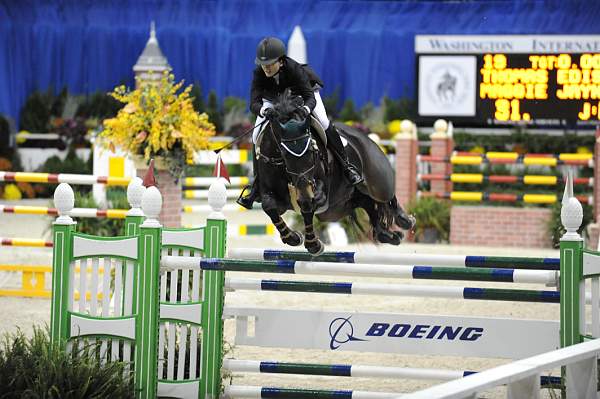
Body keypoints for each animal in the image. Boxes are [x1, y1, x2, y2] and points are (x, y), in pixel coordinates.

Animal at [255, 89, 414, 255]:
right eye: (284, 153)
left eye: (311, 150)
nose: (303, 186)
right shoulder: (273, 194)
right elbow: (269, 206)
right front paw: (293, 238)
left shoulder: (318, 189)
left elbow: (308, 204)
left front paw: (313, 245)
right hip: (337, 209)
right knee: (368, 205)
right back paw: (389, 235)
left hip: (376, 179)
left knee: (385, 195)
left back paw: (405, 220)